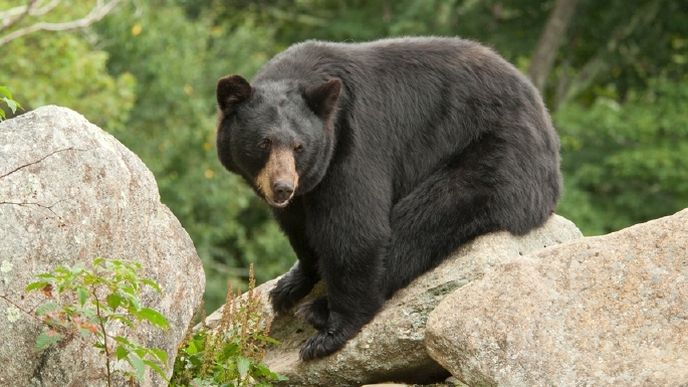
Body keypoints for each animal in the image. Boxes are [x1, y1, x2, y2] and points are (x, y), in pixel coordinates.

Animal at [218, 36, 560, 360]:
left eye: (299, 146)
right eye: (264, 142)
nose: (282, 187)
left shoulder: (353, 145)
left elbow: (355, 231)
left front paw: (330, 334)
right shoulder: (306, 186)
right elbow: (299, 228)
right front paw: (290, 284)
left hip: (497, 155)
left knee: (424, 218)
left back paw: (319, 309)